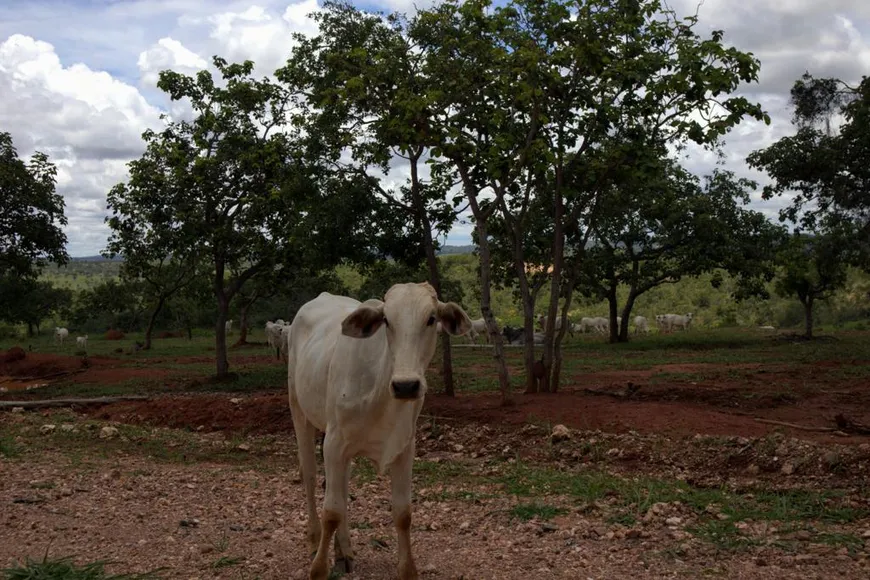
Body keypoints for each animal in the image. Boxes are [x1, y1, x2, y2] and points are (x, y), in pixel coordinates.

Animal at [290, 282, 474, 580]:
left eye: (431, 318)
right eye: (387, 320)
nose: (406, 385)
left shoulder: (404, 447)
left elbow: (403, 513)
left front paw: (408, 569)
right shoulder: (334, 444)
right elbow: (332, 511)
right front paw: (318, 568)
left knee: (341, 487)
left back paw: (344, 550)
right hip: (299, 411)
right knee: (309, 476)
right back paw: (314, 540)